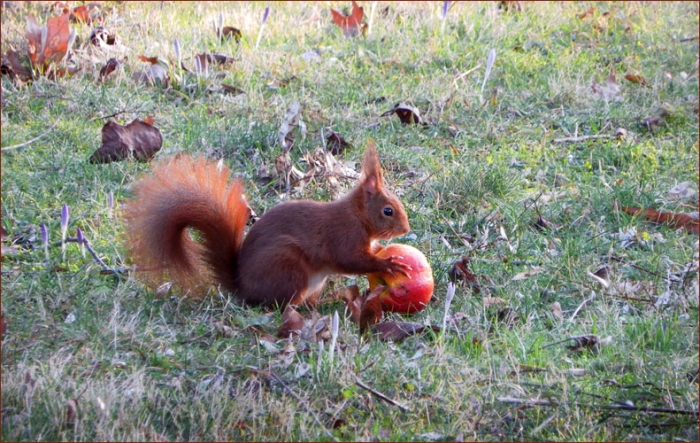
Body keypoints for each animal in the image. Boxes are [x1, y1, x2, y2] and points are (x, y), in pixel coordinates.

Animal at [123, 141, 412, 308]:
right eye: (388, 211)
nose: (406, 229)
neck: (357, 216)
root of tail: (244, 289)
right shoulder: (343, 236)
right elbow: (351, 260)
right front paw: (387, 264)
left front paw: (382, 254)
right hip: (288, 266)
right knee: (286, 305)